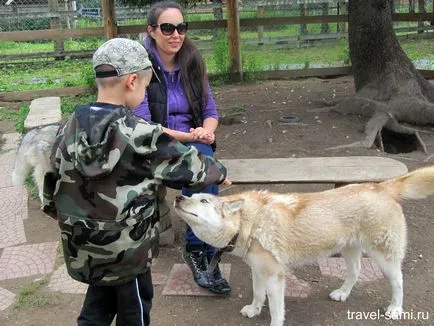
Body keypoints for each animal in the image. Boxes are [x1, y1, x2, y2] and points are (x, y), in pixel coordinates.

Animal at [173, 166, 434, 326]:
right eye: (191, 195)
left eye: (203, 200)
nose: (178, 197)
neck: (249, 220)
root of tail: (380, 187)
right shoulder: (257, 270)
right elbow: (258, 294)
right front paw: (254, 310)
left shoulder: (275, 276)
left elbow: (276, 310)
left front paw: (273, 322)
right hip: (350, 251)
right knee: (356, 272)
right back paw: (342, 293)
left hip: (384, 257)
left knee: (399, 281)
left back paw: (395, 308)